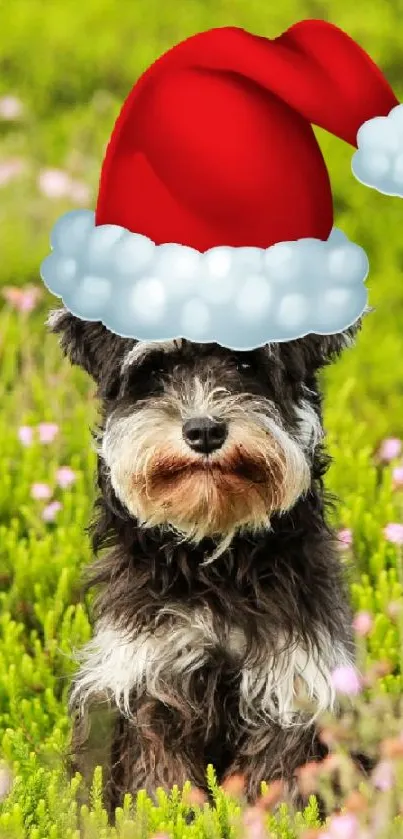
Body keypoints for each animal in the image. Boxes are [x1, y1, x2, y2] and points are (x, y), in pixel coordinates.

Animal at [48, 306, 360, 812]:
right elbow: (160, 786)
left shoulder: (290, 690)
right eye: (156, 371)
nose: (204, 430)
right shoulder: (149, 686)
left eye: (248, 364)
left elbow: (272, 786)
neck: (216, 558)